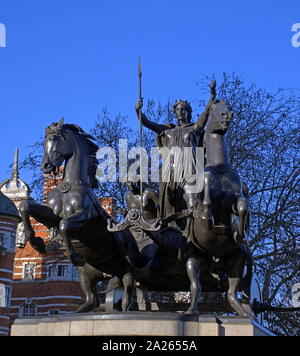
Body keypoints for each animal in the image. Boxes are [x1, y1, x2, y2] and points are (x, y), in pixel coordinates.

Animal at [19, 119, 139, 312]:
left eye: (54, 138)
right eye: (44, 142)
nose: (45, 166)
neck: (70, 185)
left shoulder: (84, 218)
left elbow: (65, 225)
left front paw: (73, 256)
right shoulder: (52, 216)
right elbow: (26, 206)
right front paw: (37, 243)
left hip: (128, 267)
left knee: (127, 294)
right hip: (88, 275)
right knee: (92, 300)